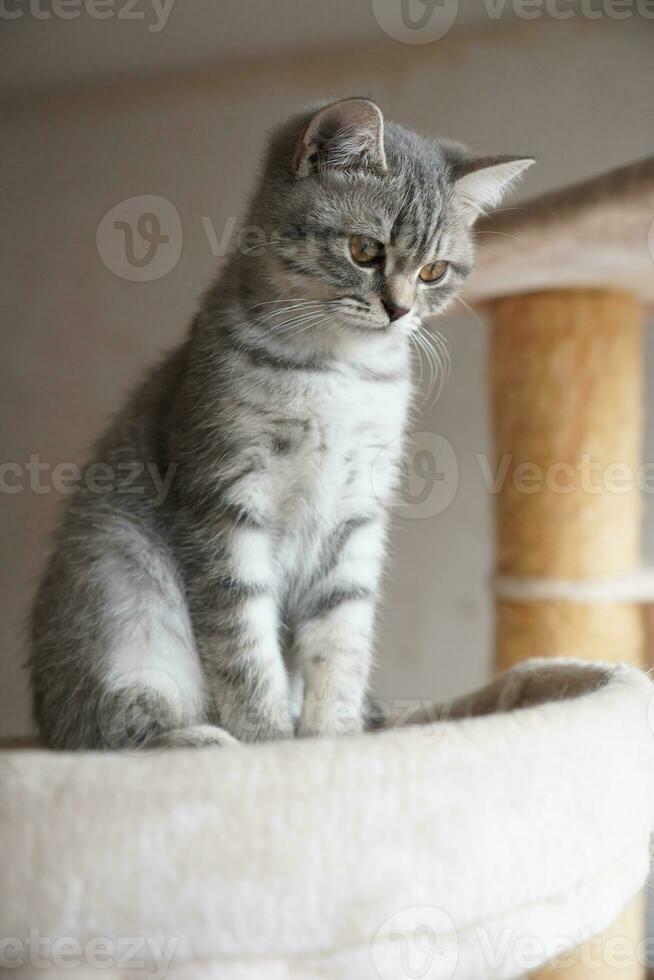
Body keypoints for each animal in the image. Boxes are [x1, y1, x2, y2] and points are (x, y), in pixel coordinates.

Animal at [28, 99, 536, 748]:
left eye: (434, 271)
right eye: (364, 250)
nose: (399, 310)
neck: (340, 370)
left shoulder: (358, 514)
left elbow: (341, 640)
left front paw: (333, 736)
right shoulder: (224, 502)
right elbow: (243, 645)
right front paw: (267, 742)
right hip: (118, 587)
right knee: (103, 725)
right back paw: (196, 738)